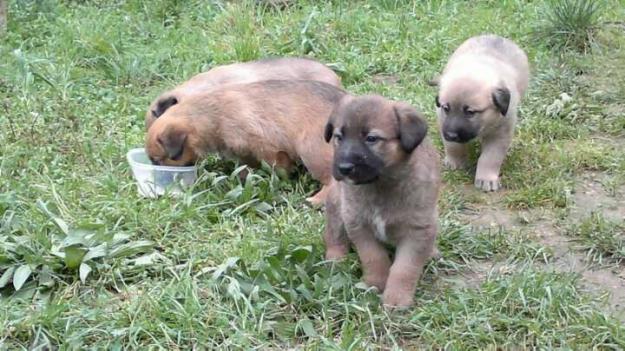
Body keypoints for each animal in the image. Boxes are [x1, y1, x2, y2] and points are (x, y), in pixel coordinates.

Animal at [145, 80, 346, 206]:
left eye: (157, 160)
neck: (212, 116)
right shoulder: (243, 152)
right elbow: (246, 167)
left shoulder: (266, 144)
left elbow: (277, 166)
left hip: (311, 149)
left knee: (332, 180)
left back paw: (316, 200)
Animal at [324, 95, 442, 306]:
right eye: (339, 137)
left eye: (371, 138)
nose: (344, 168)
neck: (380, 185)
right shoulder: (358, 224)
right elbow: (374, 257)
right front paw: (375, 282)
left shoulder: (418, 230)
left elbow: (405, 268)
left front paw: (396, 298)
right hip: (337, 205)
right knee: (333, 234)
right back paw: (335, 259)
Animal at [434, 34, 528, 191]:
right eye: (446, 108)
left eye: (470, 112)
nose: (451, 135)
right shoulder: (443, 121)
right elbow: (453, 146)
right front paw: (455, 161)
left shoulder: (501, 132)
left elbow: (490, 157)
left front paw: (486, 179)